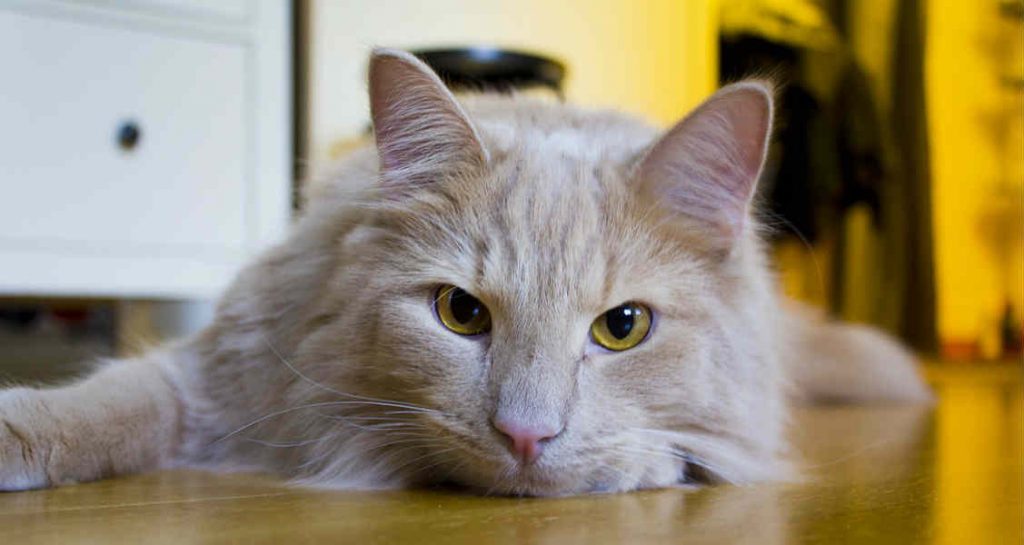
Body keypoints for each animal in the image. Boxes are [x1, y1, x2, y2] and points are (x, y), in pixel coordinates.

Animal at [0, 48, 929, 495]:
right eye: (460, 313)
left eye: (623, 327)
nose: (525, 435)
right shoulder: (220, 373)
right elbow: (110, 403)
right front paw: (20, 432)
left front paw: (637, 464)